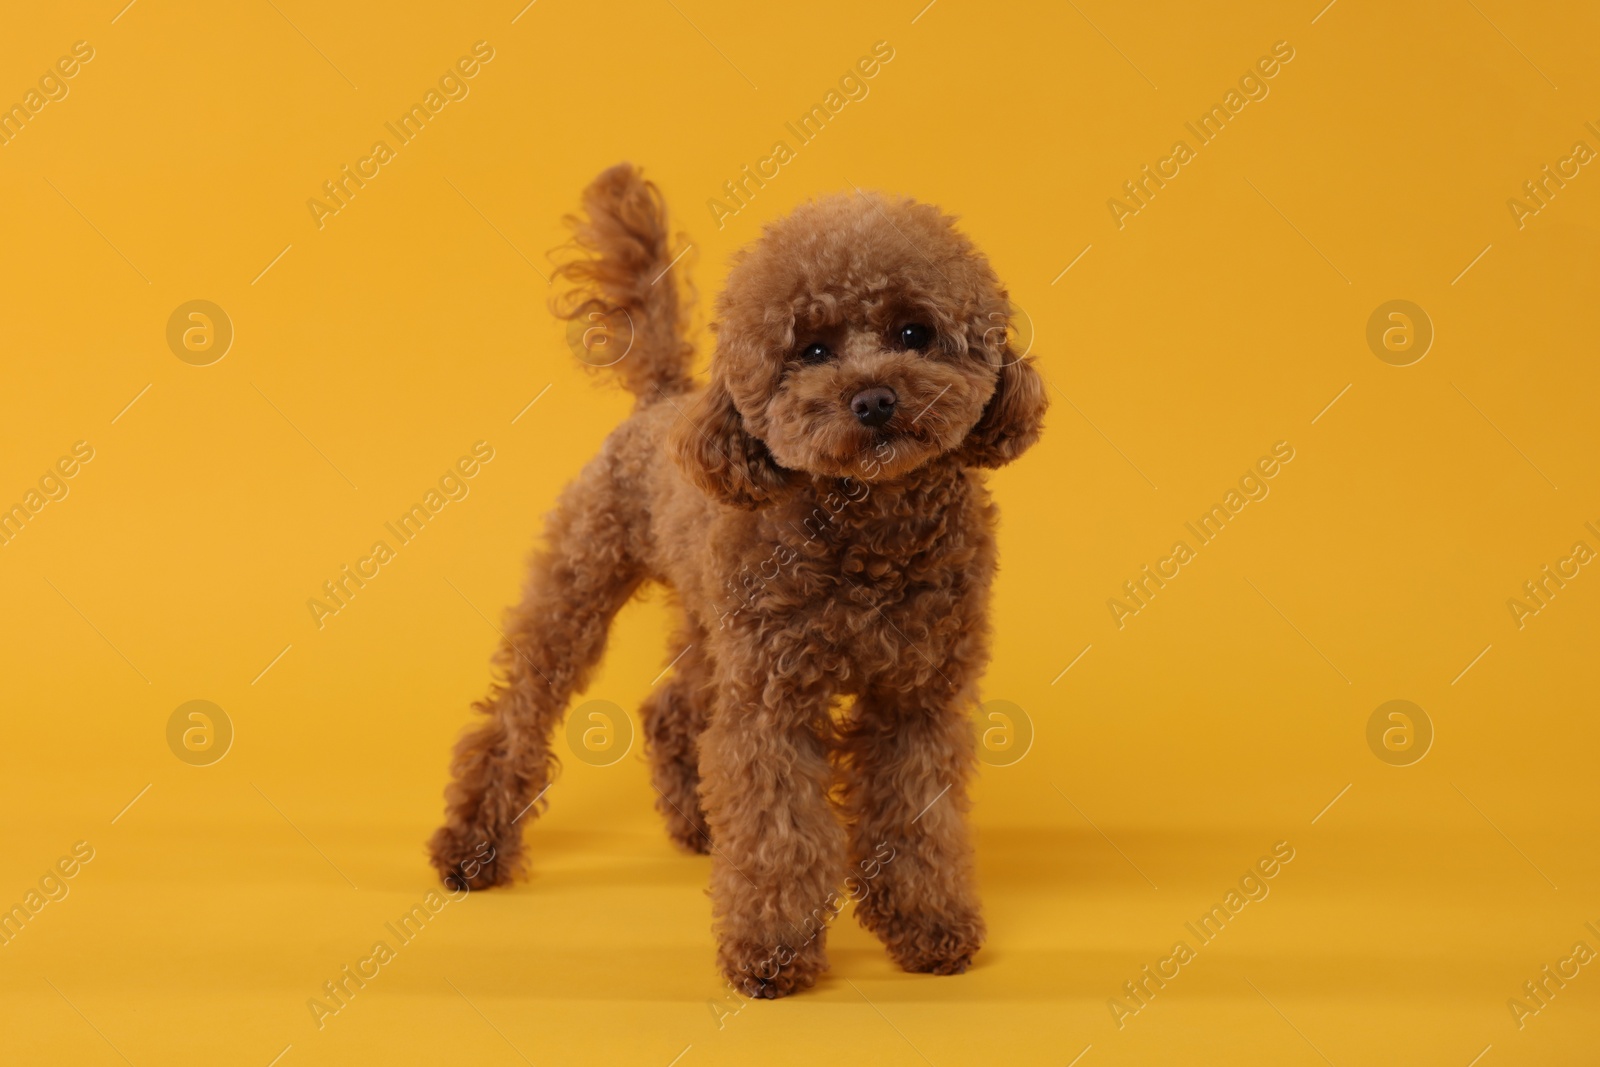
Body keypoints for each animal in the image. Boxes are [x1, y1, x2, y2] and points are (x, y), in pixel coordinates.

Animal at [428, 163, 1049, 998]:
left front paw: (930, 928)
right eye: (811, 349)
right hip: (582, 584)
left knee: (670, 710)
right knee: (519, 709)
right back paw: (472, 845)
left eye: (914, 332)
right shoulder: (771, 702)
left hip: (712, 619)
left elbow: (915, 822)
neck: (867, 530)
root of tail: (664, 398)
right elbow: (778, 830)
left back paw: (696, 823)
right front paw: (772, 950)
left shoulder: (916, 699)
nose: (874, 398)